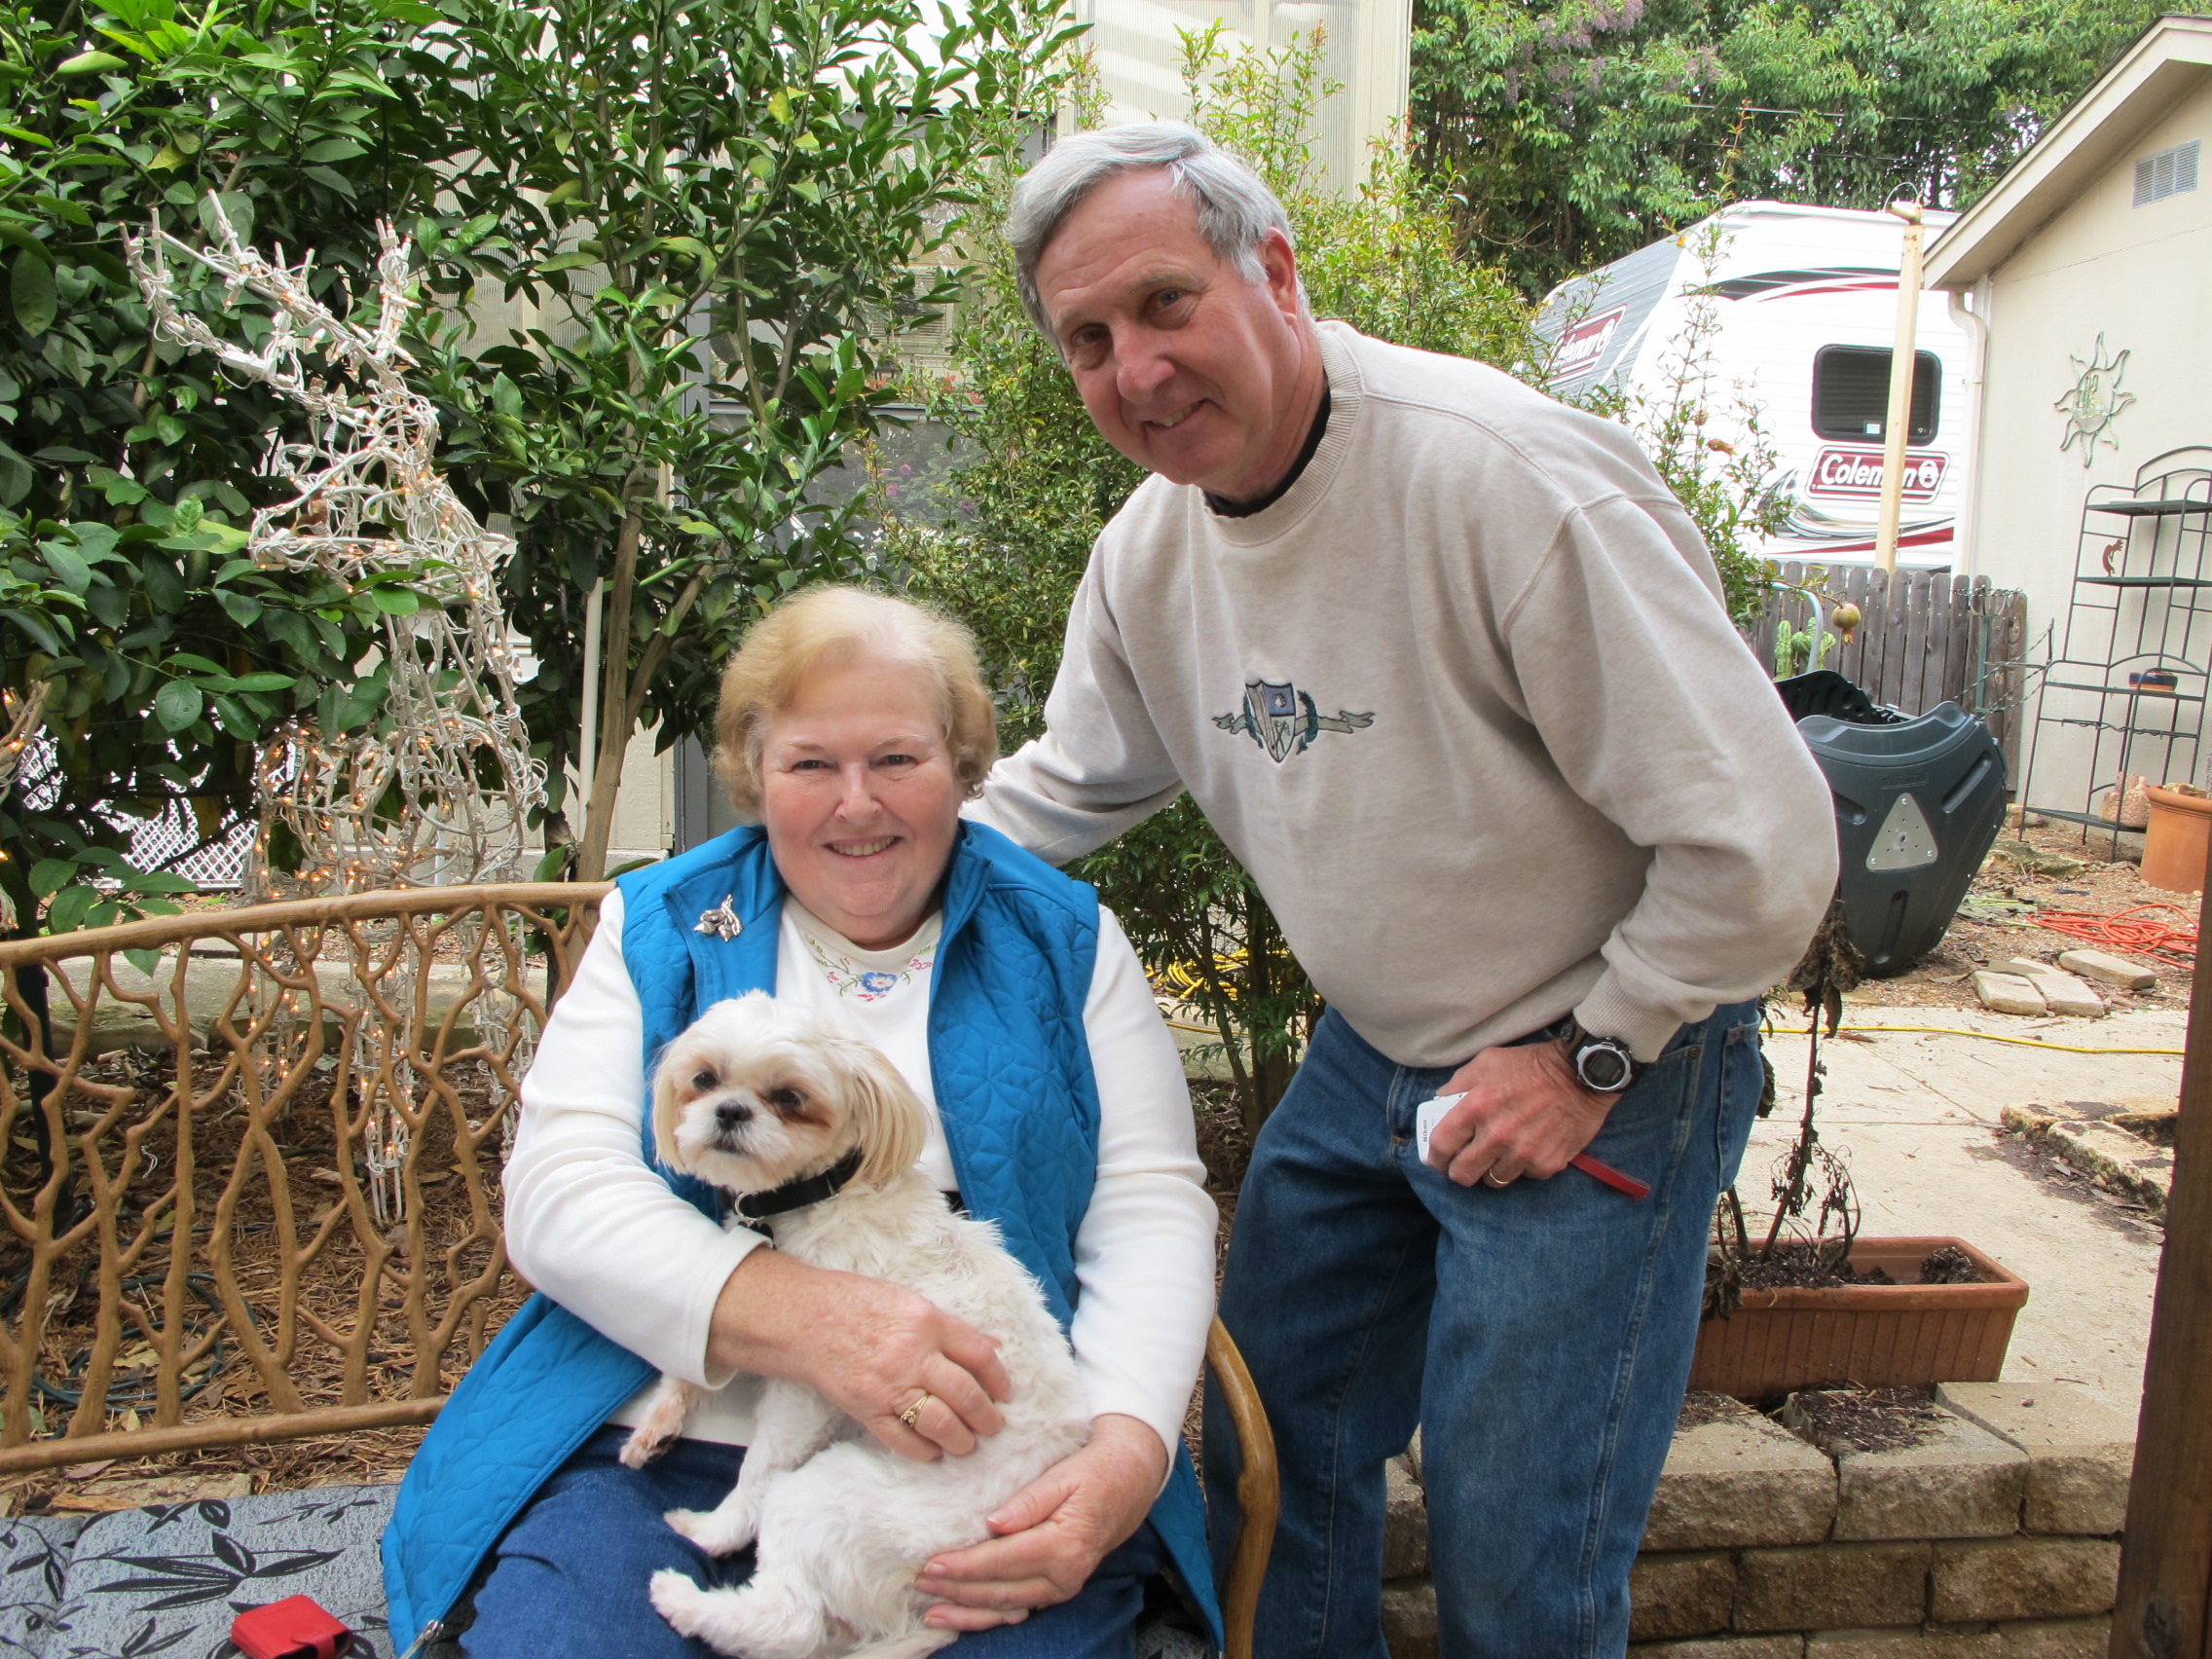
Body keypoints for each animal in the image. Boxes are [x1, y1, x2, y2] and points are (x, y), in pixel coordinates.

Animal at [623, 991, 1090, 1659]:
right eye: (704, 1079)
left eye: (790, 1097)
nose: (730, 1110)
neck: (817, 1198)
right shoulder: (761, 1307)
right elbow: (703, 1353)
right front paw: (659, 1422)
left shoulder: (813, 1380)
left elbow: (759, 1466)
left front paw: (723, 1524)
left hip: (823, 1497)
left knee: (788, 1619)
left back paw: (686, 1586)